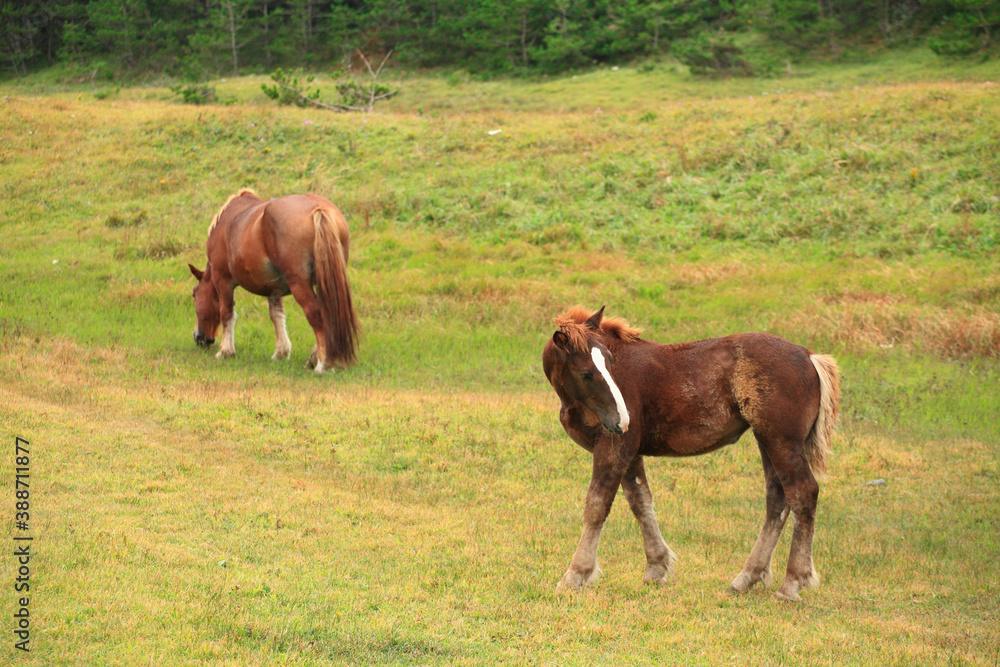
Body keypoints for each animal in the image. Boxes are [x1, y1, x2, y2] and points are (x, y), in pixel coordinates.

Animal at [188, 190, 360, 374]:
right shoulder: (273, 287)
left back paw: (322, 364)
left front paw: (225, 351)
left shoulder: (222, 279)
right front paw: (281, 352)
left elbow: (226, 313)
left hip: (300, 284)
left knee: (316, 314)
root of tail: (318, 209)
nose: (198, 337)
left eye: (194, 294)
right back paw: (316, 359)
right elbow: (277, 315)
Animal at [544, 306, 840, 604]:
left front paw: (575, 575)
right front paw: (656, 567)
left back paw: (791, 583)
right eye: (585, 373)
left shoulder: (614, 447)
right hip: (766, 439)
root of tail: (810, 356)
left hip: (782, 441)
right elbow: (640, 501)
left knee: (802, 493)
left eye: (611, 362)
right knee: (777, 498)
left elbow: (597, 506)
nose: (623, 419)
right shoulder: (630, 453)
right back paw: (747, 577)